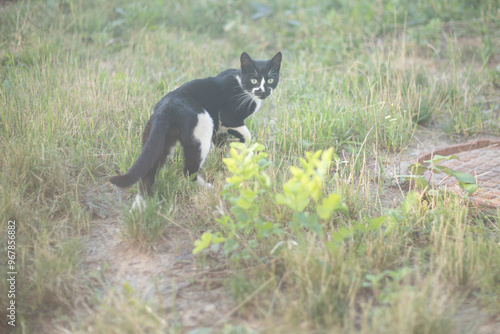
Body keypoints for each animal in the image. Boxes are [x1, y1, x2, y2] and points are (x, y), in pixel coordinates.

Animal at [110, 50, 282, 207]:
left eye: (270, 79)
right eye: (254, 80)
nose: (263, 91)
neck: (241, 84)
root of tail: (167, 108)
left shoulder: (219, 128)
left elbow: (220, 143)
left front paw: (225, 158)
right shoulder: (228, 119)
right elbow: (247, 135)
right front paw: (244, 151)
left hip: (159, 141)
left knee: (147, 171)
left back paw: (141, 207)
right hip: (202, 131)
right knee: (188, 171)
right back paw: (207, 188)